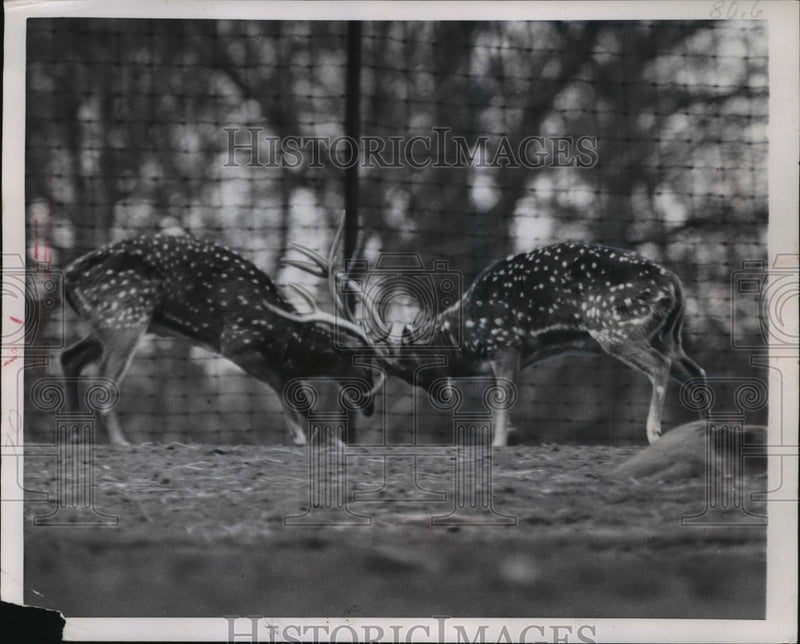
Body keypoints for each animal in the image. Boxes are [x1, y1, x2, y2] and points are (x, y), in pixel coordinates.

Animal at [60, 231, 383, 445]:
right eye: (364, 363)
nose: (370, 407)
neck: (285, 339)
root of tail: (69, 273)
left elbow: (289, 388)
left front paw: (304, 437)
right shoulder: (236, 340)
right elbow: (291, 389)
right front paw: (319, 439)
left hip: (115, 321)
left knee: (69, 357)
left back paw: (76, 435)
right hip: (127, 316)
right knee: (101, 385)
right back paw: (121, 442)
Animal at [281, 221, 707, 447]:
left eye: (413, 363)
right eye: (403, 375)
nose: (442, 394)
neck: (469, 329)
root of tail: (675, 284)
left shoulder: (506, 343)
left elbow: (501, 406)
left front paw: (499, 444)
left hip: (615, 328)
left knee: (660, 367)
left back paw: (654, 433)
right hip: (668, 334)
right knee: (695, 370)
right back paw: (704, 429)